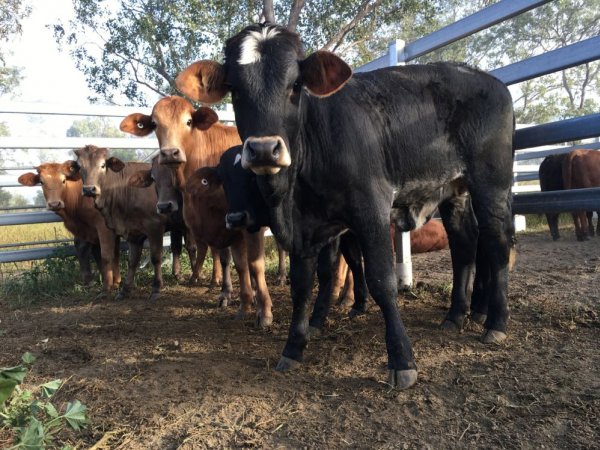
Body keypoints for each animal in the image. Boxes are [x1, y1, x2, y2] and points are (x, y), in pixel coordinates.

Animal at [17, 162, 119, 296]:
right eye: (42, 182)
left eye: (63, 180)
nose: (54, 204)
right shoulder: (89, 231)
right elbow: (89, 251)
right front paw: (107, 282)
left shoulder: (103, 227)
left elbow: (106, 255)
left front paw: (108, 288)